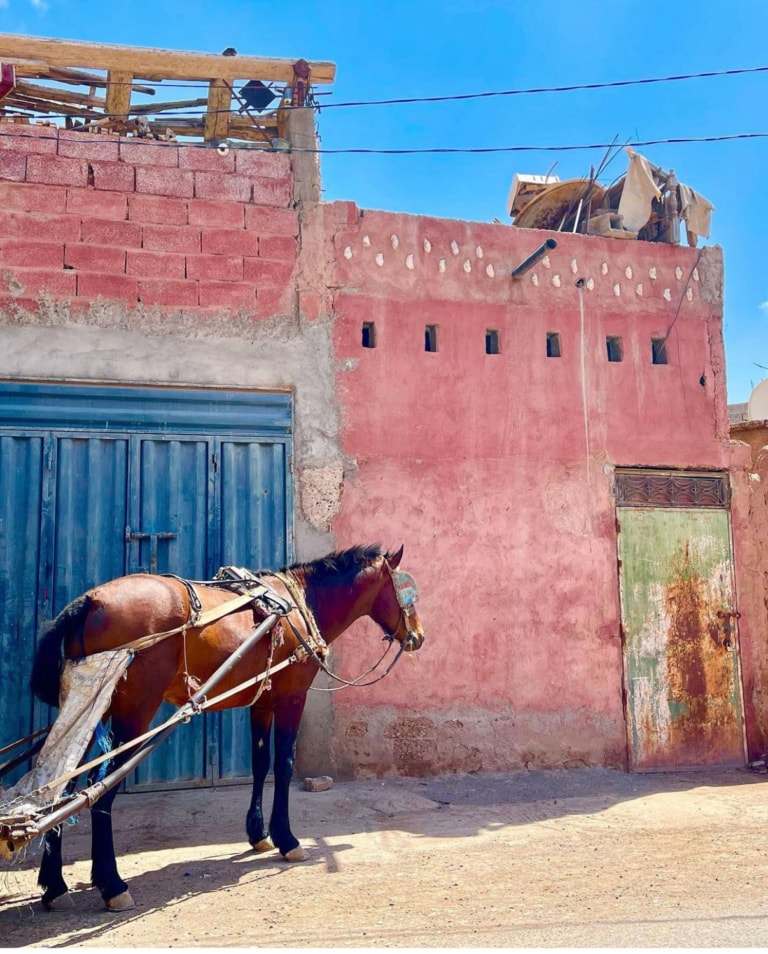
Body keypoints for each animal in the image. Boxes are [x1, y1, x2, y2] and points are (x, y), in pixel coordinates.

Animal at [27, 544, 424, 912]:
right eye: (407, 591)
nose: (418, 636)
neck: (299, 605)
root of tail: (92, 601)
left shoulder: (262, 702)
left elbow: (261, 765)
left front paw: (258, 834)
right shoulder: (292, 697)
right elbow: (283, 766)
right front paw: (288, 840)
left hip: (91, 709)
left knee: (62, 786)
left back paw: (55, 884)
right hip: (134, 712)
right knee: (99, 788)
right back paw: (112, 885)